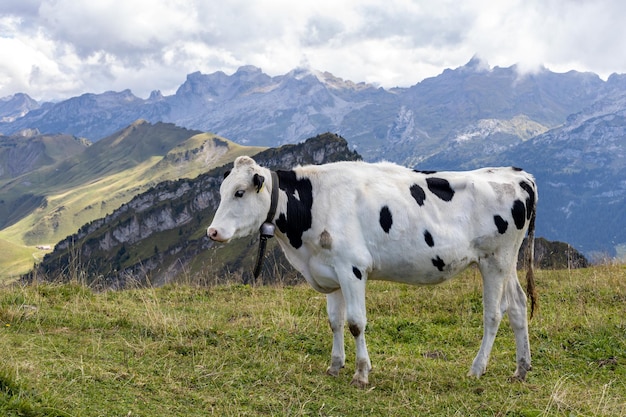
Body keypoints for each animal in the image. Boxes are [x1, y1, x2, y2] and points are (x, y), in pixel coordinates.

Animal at [206, 156, 536, 386]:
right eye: (222, 192)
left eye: (239, 192)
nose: (212, 231)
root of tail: (520, 175)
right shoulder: (330, 270)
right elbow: (334, 322)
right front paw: (335, 366)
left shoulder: (352, 267)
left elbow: (355, 323)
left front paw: (361, 373)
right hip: (509, 261)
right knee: (518, 306)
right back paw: (521, 368)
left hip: (494, 260)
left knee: (493, 314)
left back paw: (477, 368)